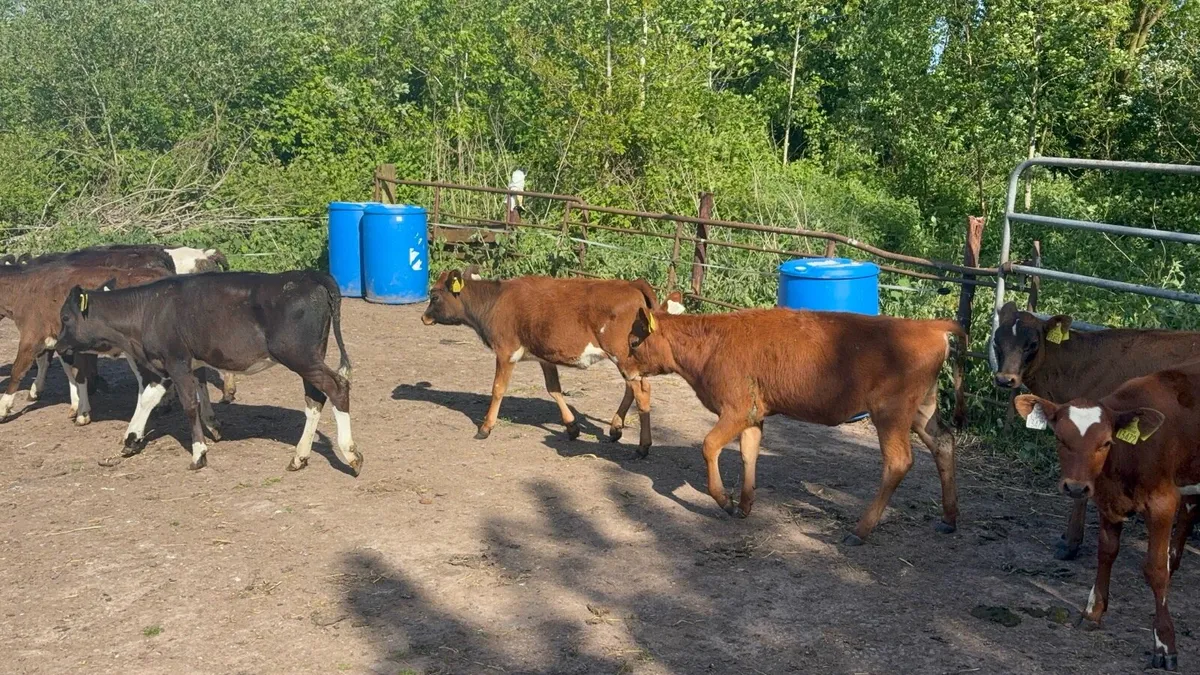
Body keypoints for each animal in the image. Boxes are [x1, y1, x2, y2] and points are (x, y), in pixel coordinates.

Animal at [0, 263, 173, 424]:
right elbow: (72, 372)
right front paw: (77, 406)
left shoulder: (31, 337)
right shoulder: (62, 342)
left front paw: (3, 408)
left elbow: (17, 371)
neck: (24, 287)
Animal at [54, 270, 361, 474]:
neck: (147, 309)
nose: (58, 346)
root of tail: (309, 275)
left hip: (299, 355)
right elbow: (148, 399)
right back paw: (299, 457)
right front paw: (132, 439)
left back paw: (351, 455)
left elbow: (189, 405)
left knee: (337, 386)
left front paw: (198, 453)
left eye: (65, 318)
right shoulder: (169, 366)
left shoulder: (176, 360)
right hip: (309, 356)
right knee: (315, 398)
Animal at [421, 268, 684, 454]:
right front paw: (571, 426)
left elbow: (498, 389)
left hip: (622, 353)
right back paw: (615, 428)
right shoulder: (544, 356)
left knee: (642, 390)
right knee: (631, 388)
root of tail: (632, 283)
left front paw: (486, 427)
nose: (424, 317)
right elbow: (554, 389)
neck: (494, 301)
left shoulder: (506, 352)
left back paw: (642, 445)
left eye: (434, 295)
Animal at [623, 305, 964, 544]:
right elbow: (748, 453)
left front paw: (725, 501)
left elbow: (709, 446)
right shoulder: (753, 415)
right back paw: (949, 518)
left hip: (890, 414)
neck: (711, 342)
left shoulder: (735, 410)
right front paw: (744, 504)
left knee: (898, 462)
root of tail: (929, 325)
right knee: (944, 442)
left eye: (634, 341)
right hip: (922, 411)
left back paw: (860, 530)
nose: (625, 372)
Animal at [1014, 362, 1200, 671]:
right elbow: (1107, 552)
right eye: (1060, 439)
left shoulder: (1162, 502)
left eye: (1105, 443)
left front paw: (1164, 644)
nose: (1076, 487)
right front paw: (1093, 611)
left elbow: (1155, 570)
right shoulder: (1106, 500)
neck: (1129, 455)